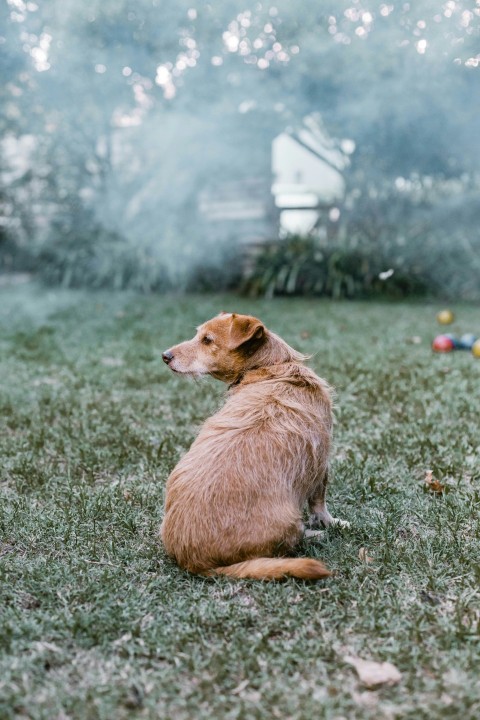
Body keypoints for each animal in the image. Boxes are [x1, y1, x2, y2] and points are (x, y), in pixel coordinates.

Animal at [162, 310, 344, 580]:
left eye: (207, 340)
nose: (165, 356)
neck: (270, 368)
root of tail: (193, 561)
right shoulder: (321, 461)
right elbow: (319, 502)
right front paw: (330, 523)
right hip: (290, 522)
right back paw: (314, 535)